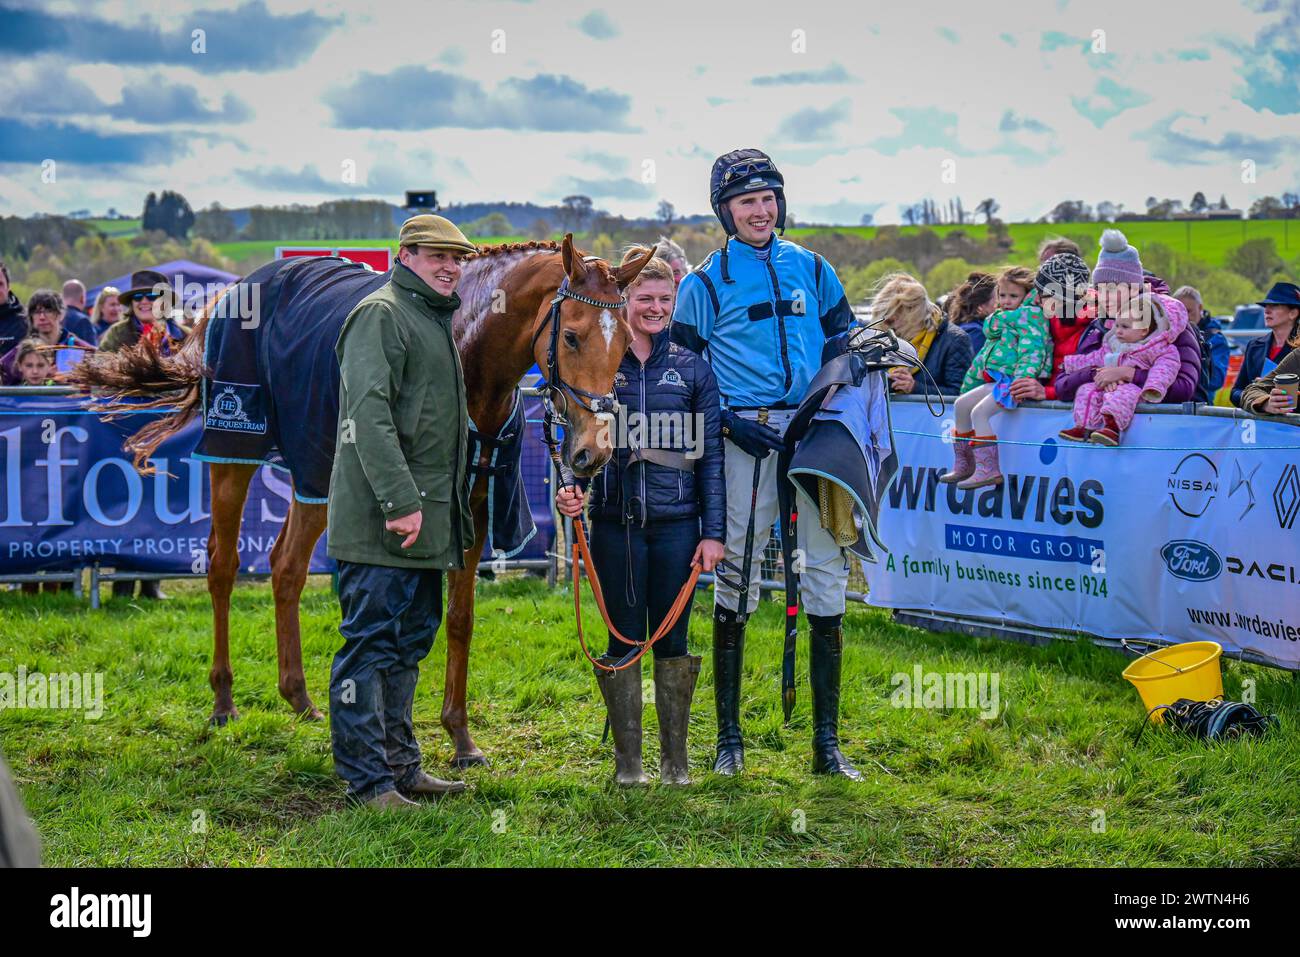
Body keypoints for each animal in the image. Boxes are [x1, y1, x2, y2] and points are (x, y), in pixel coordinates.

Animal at [74, 235, 644, 764]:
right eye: (571, 336)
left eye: (624, 345)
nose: (593, 451)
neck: (465, 342)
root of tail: (232, 294)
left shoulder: (475, 501)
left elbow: (460, 618)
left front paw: (460, 736)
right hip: (235, 450)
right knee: (222, 564)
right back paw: (223, 700)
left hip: (315, 469)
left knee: (286, 566)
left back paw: (299, 697)